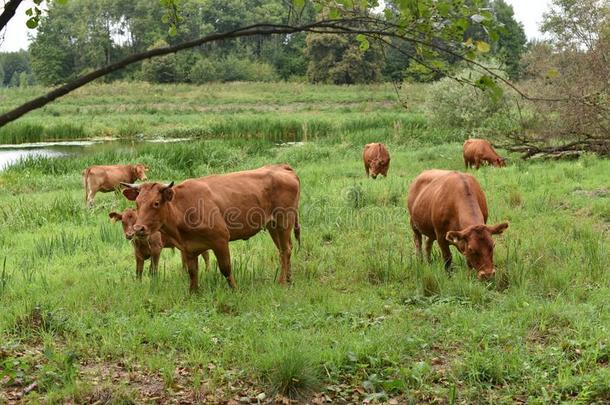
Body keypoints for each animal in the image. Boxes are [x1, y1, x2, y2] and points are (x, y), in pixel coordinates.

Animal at [119, 163, 300, 292]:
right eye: (137, 203)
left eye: (156, 203)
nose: (138, 229)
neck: (184, 208)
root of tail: (281, 167)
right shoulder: (188, 248)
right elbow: (192, 272)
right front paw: (193, 294)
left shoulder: (220, 240)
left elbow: (226, 268)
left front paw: (235, 290)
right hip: (273, 225)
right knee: (286, 249)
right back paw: (290, 279)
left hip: (284, 221)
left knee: (285, 250)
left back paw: (282, 282)